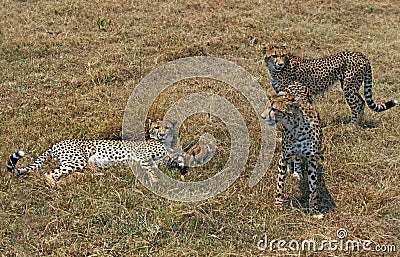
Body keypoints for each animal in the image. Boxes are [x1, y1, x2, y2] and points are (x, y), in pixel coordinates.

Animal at [7, 119, 176, 187]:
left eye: (166, 127)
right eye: (156, 127)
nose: (162, 134)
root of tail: (55, 144)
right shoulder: (143, 157)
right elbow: (152, 168)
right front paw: (156, 180)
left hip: (81, 162)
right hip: (77, 160)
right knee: (49, 173)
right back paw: (57, 185)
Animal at [260, 82, 324, 212]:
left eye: (274, 109)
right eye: (267, 106)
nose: (262, 116)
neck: (297, 127)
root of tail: (295, 83)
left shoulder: (312, 159)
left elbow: (313, 185)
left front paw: (314, 209)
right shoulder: (283, 156)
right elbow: (280, 183)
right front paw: (278, 203)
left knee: (298, 157)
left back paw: (297, 172)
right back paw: (291, 168)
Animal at [262, 44, 396, 124]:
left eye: (283, 55)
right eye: (274, 55)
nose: (280, 64)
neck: (274, 69)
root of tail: (361, 54)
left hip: (349, 88)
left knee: (357, 105)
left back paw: (352, 126)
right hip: (351, 86)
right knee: (362, 102)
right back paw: (359, 123)